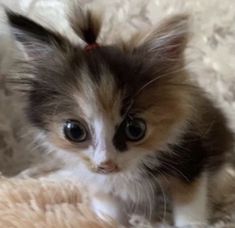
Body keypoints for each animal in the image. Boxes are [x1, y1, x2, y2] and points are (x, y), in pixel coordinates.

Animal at [5, 6, 233, 226]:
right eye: (74, 131)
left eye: (135, 129)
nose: (106, 164)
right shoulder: (96, 178)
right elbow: (108, 209)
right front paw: (109, 221)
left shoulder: (190, 158)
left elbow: (189, 203)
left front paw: (191, 223)